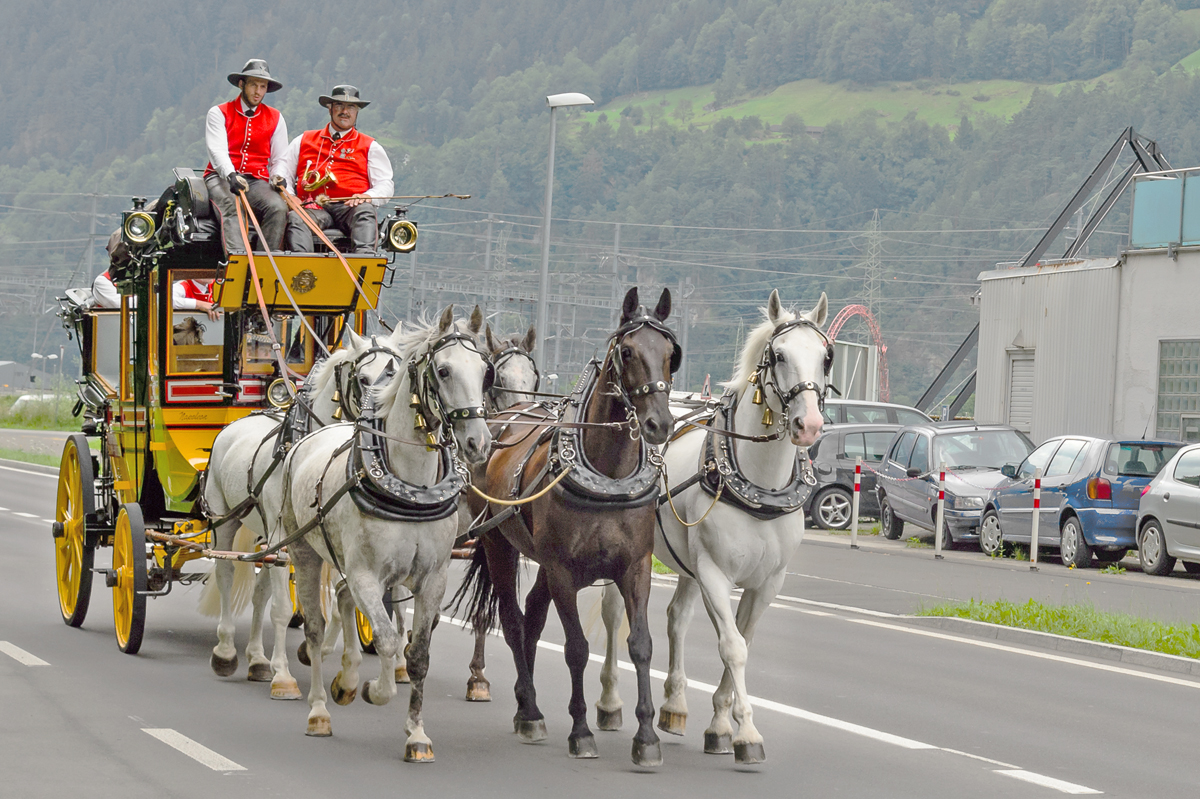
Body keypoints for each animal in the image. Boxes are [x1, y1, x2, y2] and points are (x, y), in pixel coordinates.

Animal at [199, 323, 400, 695]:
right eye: (364, 378)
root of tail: (235, 424)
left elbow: (335, 598)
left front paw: (312, 652)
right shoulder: (287, 535)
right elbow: (281, 608)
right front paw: (283, 675)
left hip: (267, 537)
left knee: (260, 590)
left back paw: (256, 658)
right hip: (226, 522)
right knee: (226, 573)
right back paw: (226, 651)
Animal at [278, 304, 489, 758]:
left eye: (485, 371)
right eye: (443, 371)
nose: (479, 443)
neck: (411, 485)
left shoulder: (433, 579)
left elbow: (419, 653)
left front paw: (417, 734)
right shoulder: (366, 575)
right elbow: (390, 640)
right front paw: (374, 689)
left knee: (341, 598)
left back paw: (344, 680)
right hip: (303, 550)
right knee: (315, 625)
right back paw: (319, 707)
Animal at [451, 286, 676, 767]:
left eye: (671, 353)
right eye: (627, 351)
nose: (660, 423)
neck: (607, 474)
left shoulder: (636, 568)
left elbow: (642, 645)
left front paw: (647, 737)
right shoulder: (562, 571)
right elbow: (576, 649)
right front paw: (581, 731)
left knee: (532, 619)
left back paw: (524, 702)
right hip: (499, 543)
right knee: (512, 620)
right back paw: (531, 711)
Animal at [597, 289, 825, 763]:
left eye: (826, 357)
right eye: (778, 354)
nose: (808, 424)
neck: (758, 482)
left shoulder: (768, 582)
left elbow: (741, 642)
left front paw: (720, 725)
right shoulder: (715, 573)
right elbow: (732, 647)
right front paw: (747, 733)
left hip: (686, 559)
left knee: (676, 619)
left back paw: (675, 705)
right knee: (613, 613)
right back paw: (609, 702)